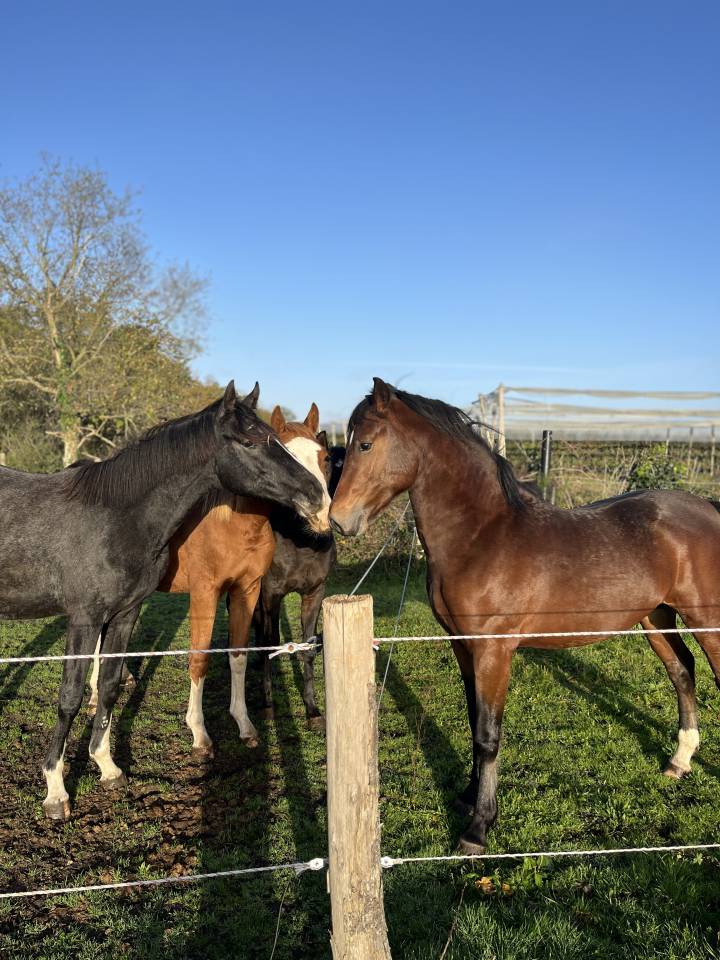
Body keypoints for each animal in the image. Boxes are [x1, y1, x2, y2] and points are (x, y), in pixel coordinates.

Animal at [0, 381, 327, 819]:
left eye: (321, 455)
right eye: (251, 441)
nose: (317, 498)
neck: (115, 518)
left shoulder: (127, 612)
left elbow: (110, 685)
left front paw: (108, 767)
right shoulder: (86, 617)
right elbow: (69, 697)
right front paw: (55, 791)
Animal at [249, 405, 341, 730]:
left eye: (326, 458)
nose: (320, 515)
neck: (301, 542)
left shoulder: (314, 594)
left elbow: (308, 648)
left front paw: (313, 711)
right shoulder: (270, 595)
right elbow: (270, 643)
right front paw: (267, 707)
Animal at [329, 377, 720, 854]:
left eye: (365, 443)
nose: (338, 520)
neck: (481, 536)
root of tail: (709, 509)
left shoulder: (494, 651)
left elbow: (488, 735)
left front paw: (478, 828)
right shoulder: (463, 647)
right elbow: (473, 722)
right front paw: (467, 797)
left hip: (706, 619)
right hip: (656, 617)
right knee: (682, 672)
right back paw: (679, 761)